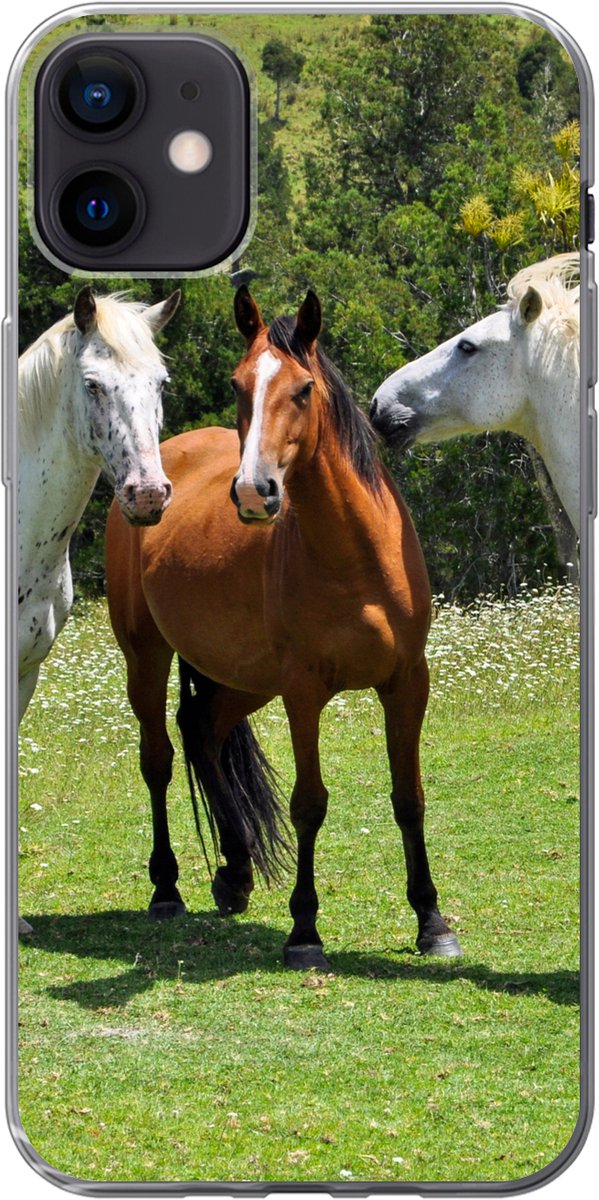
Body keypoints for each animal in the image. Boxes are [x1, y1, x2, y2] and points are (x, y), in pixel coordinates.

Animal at [105, 287, 462, 969]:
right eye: (238, 384)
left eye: (302, 389)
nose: (254, 491)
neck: (356, 557)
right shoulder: (303, 692)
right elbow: (309, 804)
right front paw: (305, 931)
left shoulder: (408, 682)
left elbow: (410, 797)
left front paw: (432, 922)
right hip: (148, 655)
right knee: (159, 760)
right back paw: (167, 889)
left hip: (246, 678)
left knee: (203, 729)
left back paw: (235, 872)